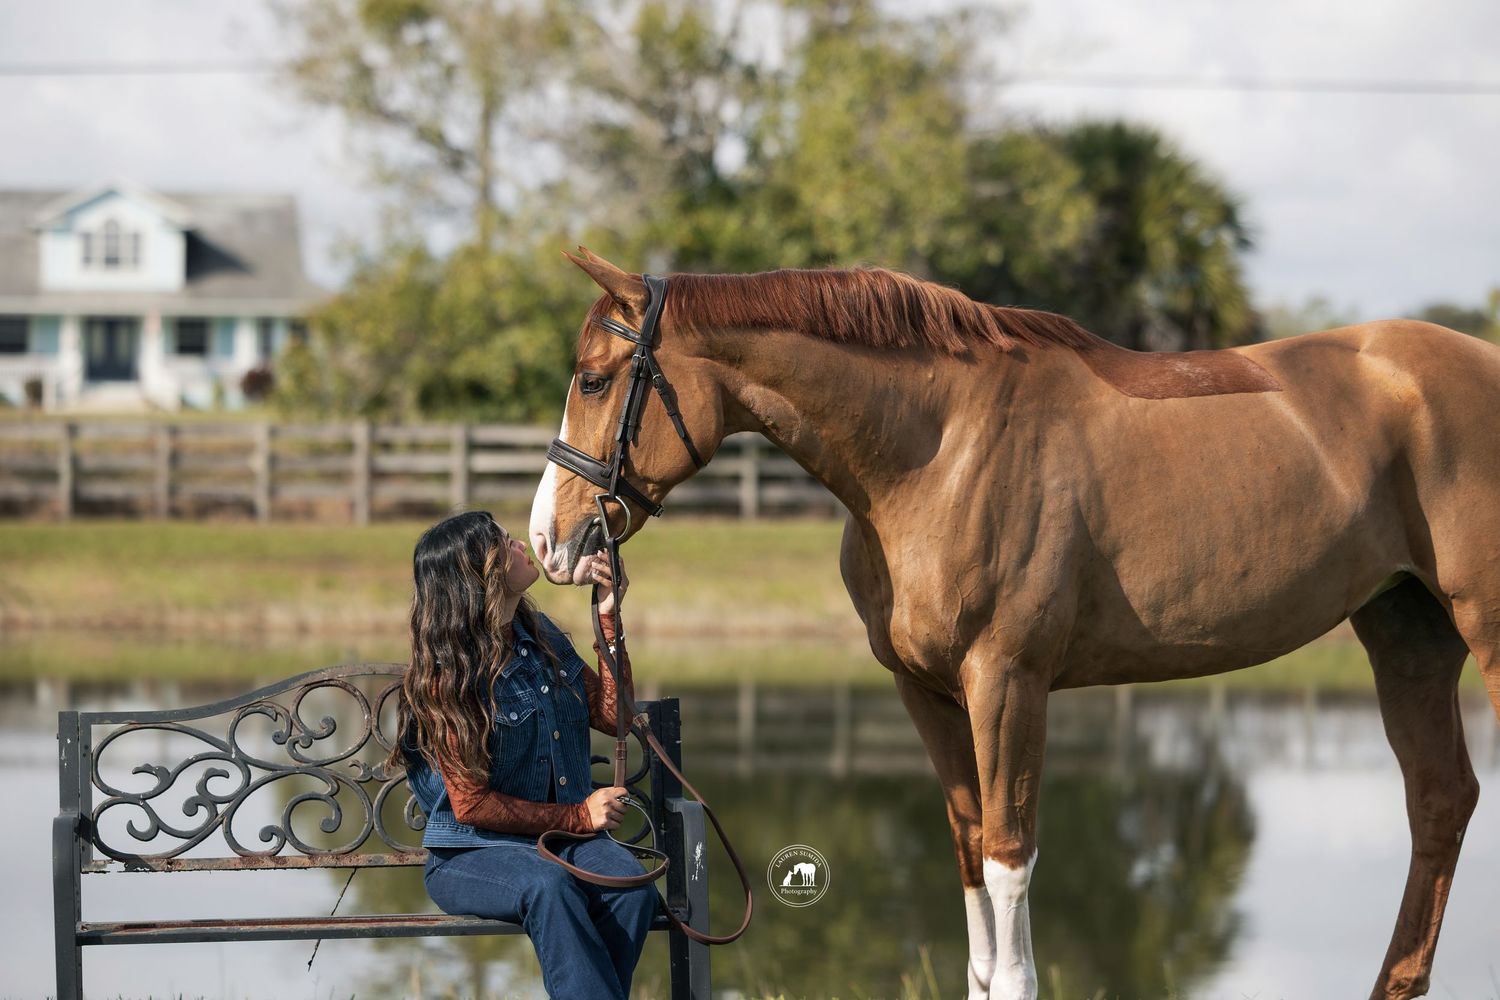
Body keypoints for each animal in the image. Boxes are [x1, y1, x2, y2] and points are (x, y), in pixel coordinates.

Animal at [528, 246, 1500, 1000]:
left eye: (595, 380)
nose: (547, 540)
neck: (937, 448)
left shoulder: (1008, 682)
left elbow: (1007, 858)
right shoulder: (924, 692)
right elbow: (968, 853)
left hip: (1483, 630)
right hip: (1407, 634)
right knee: (1439, 799)